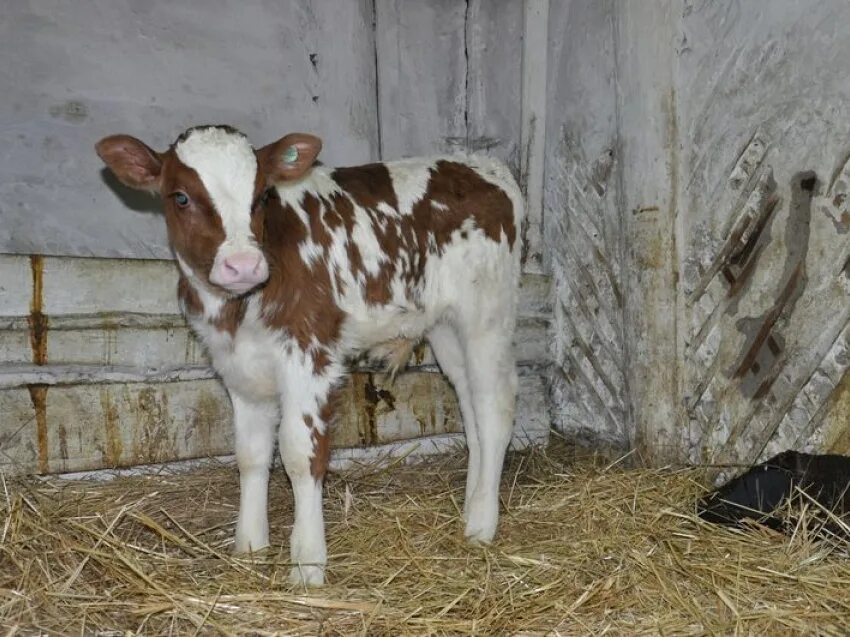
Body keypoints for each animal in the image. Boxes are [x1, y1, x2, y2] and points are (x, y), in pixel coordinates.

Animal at [91, 125, 516, 588]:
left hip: (486, 316)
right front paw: (250, 547)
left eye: (262, 196)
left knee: (495, 411)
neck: (238, 311)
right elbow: (250, 454)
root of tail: (481, 165)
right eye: (180, 197)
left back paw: (482, 525)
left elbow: (300, 455)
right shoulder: (237, 368)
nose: (244, 265)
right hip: (444, 327)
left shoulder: (309, 357)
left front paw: (308, 564)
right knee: (472, 409)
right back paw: (473, 504)